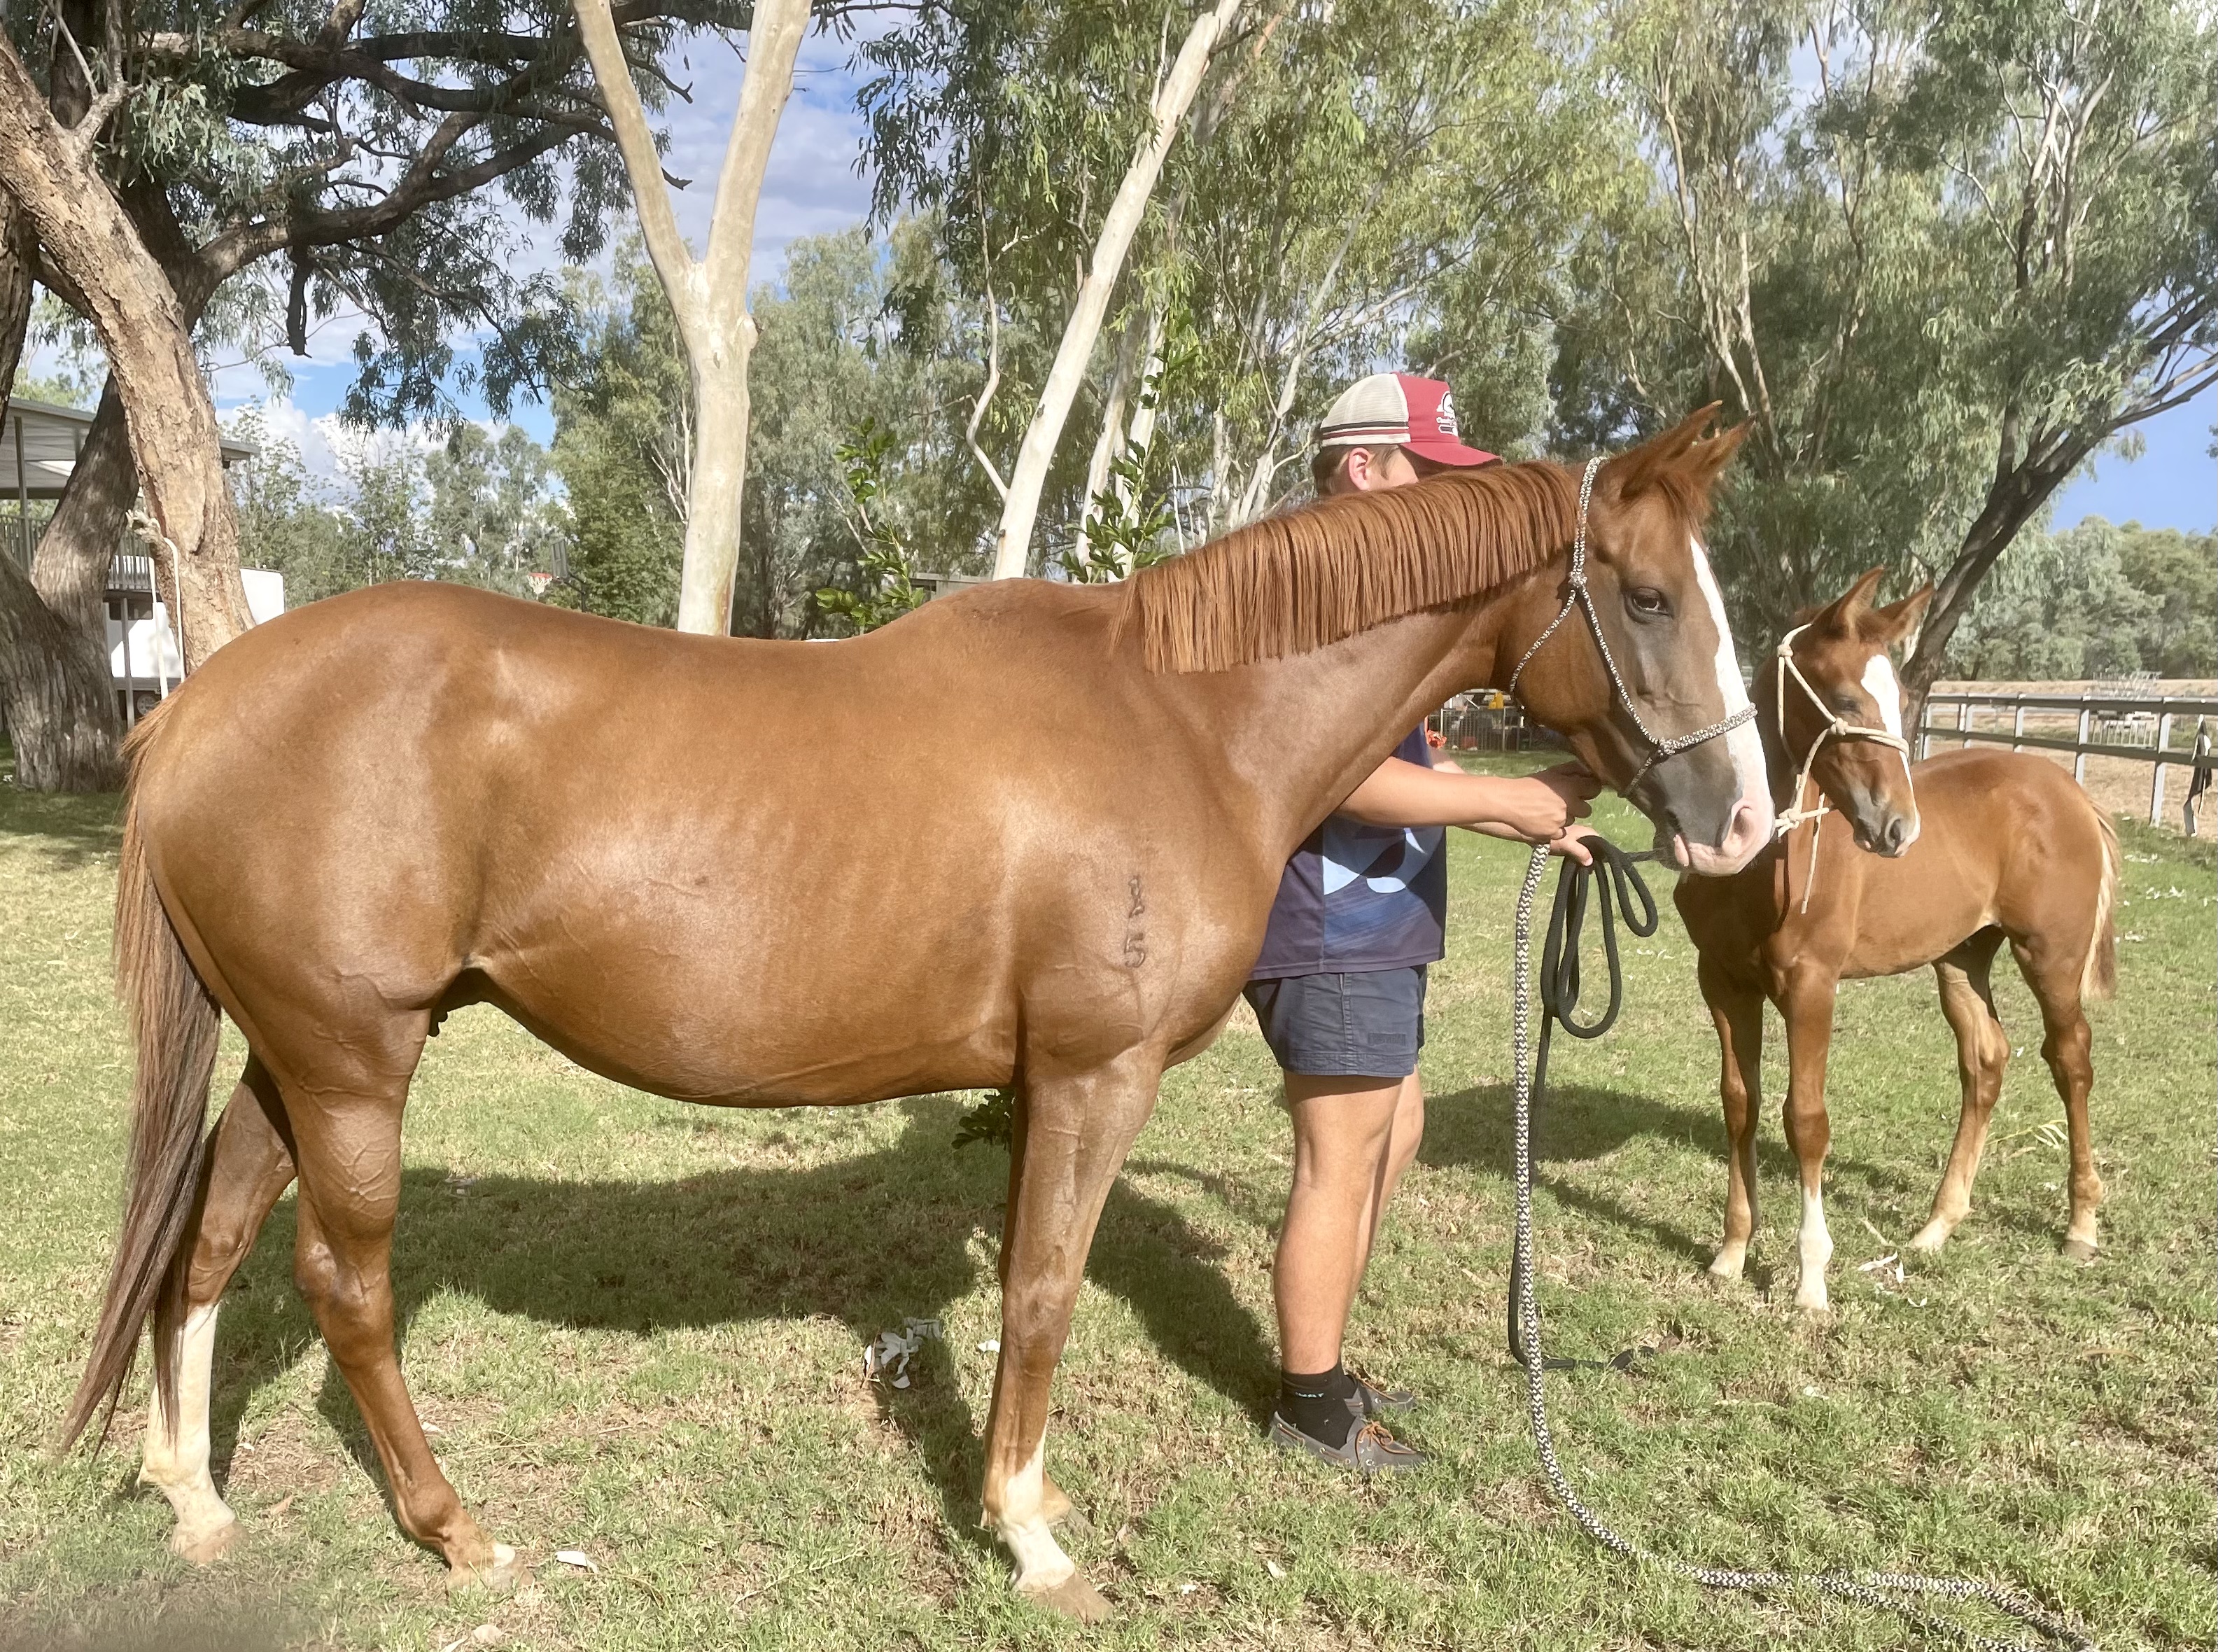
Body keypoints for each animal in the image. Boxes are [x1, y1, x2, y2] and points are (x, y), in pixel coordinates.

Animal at [65, 408, 1773, 1620]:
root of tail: (196, 707)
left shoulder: (1036, 1085)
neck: (1185, 719)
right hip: (351, 1063)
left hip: (295, 1059)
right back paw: (454, 1530)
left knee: (206, 1244)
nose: (1743, 824)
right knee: (342, 1289)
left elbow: (1022, 1281)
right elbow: (1045, 1292)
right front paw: (1028, 1537)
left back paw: (196, 1497)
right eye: (1642, 597)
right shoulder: (1091, 1076)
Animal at [1674, 568, 2119, 1314]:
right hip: (1961, 959)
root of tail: (2069, 791)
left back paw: (2080, 1226)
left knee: (2070, 1060)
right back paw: (1935, 1228)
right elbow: (1740, 1105)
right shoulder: (1723, 982)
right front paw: (1731, 1254)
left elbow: (1805, 1119)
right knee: (1985, 1061)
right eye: (1845, 699)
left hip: (2048, 956)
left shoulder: (1811, 987)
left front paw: (1811, 1283)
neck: (1764, 860)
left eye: (1905, 699)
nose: (1897, 829)